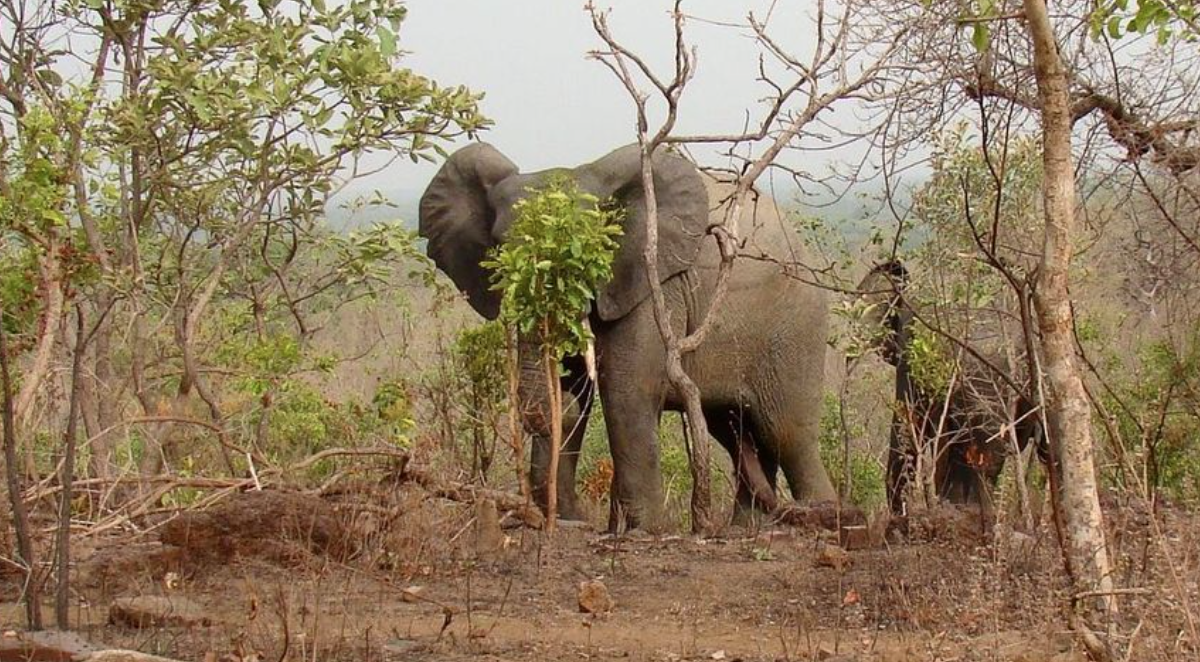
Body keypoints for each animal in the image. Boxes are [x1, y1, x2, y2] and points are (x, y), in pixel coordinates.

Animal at [420, 142, 835, 530]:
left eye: (585, 246)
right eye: (498, 248)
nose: (560, 408)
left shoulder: (655, 281)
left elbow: (627, 386)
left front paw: (643, 531)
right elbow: (588, 380)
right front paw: (574, 521)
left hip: (798, 328)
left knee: (786, 433)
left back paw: (824, 518)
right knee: (738, 434)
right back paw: (747, 526)